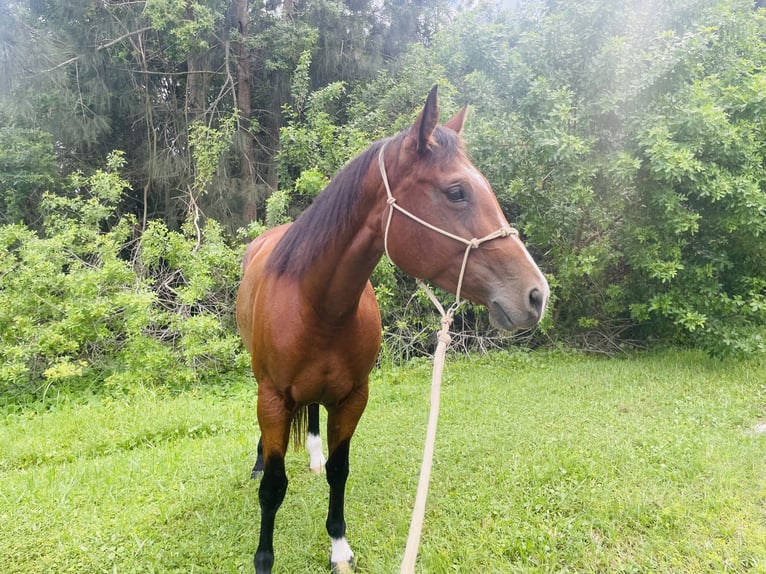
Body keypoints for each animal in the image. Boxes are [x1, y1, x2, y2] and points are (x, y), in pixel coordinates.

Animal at [235, 85, 549, 574]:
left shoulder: (352, 398)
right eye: (456, 192)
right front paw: (264, 558)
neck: (317, 307)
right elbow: (272, 488)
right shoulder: (272, 400)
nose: (536, 295)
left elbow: (339, 471)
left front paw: (338, 545)